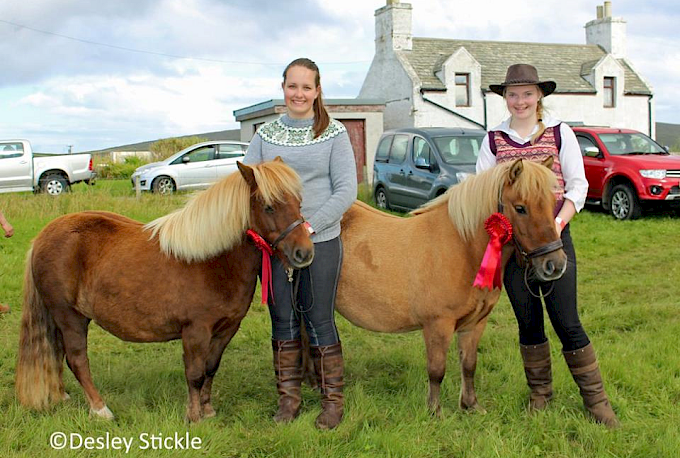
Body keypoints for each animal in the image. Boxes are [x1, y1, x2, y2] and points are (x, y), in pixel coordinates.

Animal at [15, 160, 314, 422]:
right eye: (269, 207)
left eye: (299, 202)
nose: (304, 253)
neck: (212, 260)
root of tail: (43, 237)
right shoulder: (195, 330)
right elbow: (194, 373)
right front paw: (194, 416)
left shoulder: (226, 329)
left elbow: (210, 368)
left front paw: (207, 409)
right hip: (69, 316)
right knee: (77, 360)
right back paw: (100, 410)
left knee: (56, 355)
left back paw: (62, 396)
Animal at [306, 157, 564, 416]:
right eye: (520, 208)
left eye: (553, 204)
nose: (555, 264)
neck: (462, 248)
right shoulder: (438, 325)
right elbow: (437, 370)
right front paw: (434, 412)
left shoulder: (475, 324)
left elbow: (469, 365)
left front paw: (471, 405)